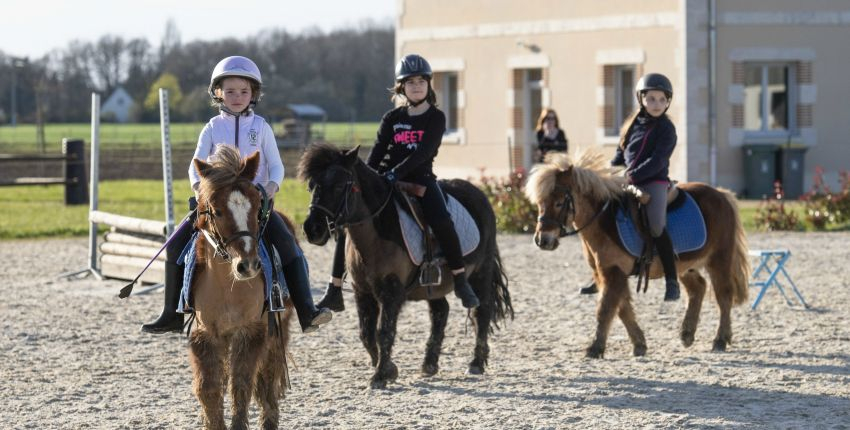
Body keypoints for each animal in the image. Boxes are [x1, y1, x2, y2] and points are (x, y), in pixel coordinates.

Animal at [187, 145, 294, 430]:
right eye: (217, 210)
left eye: (257, 206)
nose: (248, 266)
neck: (227, 287)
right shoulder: (205, 334)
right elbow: (209, 388)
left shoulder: (252, 331)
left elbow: (242, 385)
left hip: (278, 327)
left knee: (268, 377)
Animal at [520, 149, 744, 358]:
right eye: (540, 203)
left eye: (559, 202)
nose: (542, 240)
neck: (604, 220)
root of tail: (721, 194)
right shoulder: (608, 274)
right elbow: (622, 309)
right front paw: (639, 344)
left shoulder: (613, 272)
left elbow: (606, 309)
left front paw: (595, 348)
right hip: (685, 265)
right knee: (698, 288)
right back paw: (687, 334)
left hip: (719, 259)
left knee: (724, 295)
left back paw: (720, 339)